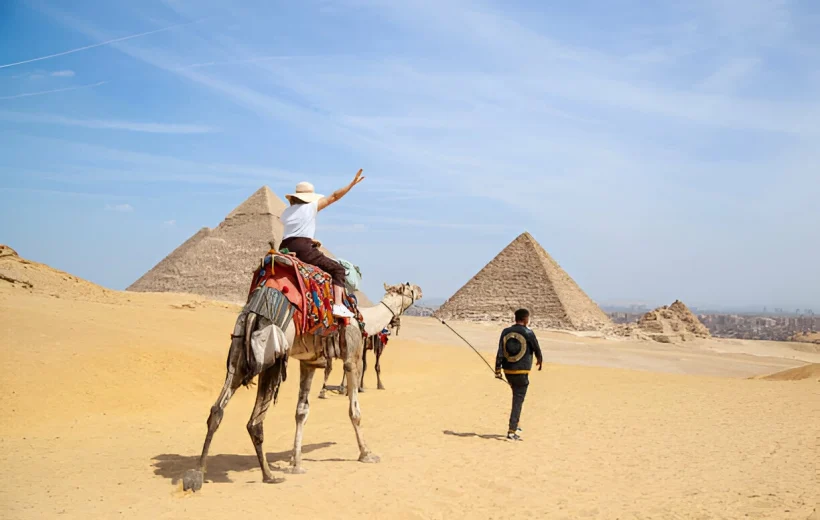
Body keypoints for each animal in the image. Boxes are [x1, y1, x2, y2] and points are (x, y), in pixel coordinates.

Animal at [183, 281, 422, 491]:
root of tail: (253, 313)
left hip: (238, 348)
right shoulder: (352, 357)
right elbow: (354, 411)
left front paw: (295, 463)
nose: (420, 290)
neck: (364, 320)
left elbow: (301, 412)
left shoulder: (308, 362)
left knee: (217, 410)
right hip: (273, 353)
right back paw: (269, 476)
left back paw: (197, 474)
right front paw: (367, 454)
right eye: (409, 288)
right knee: (254, 421)